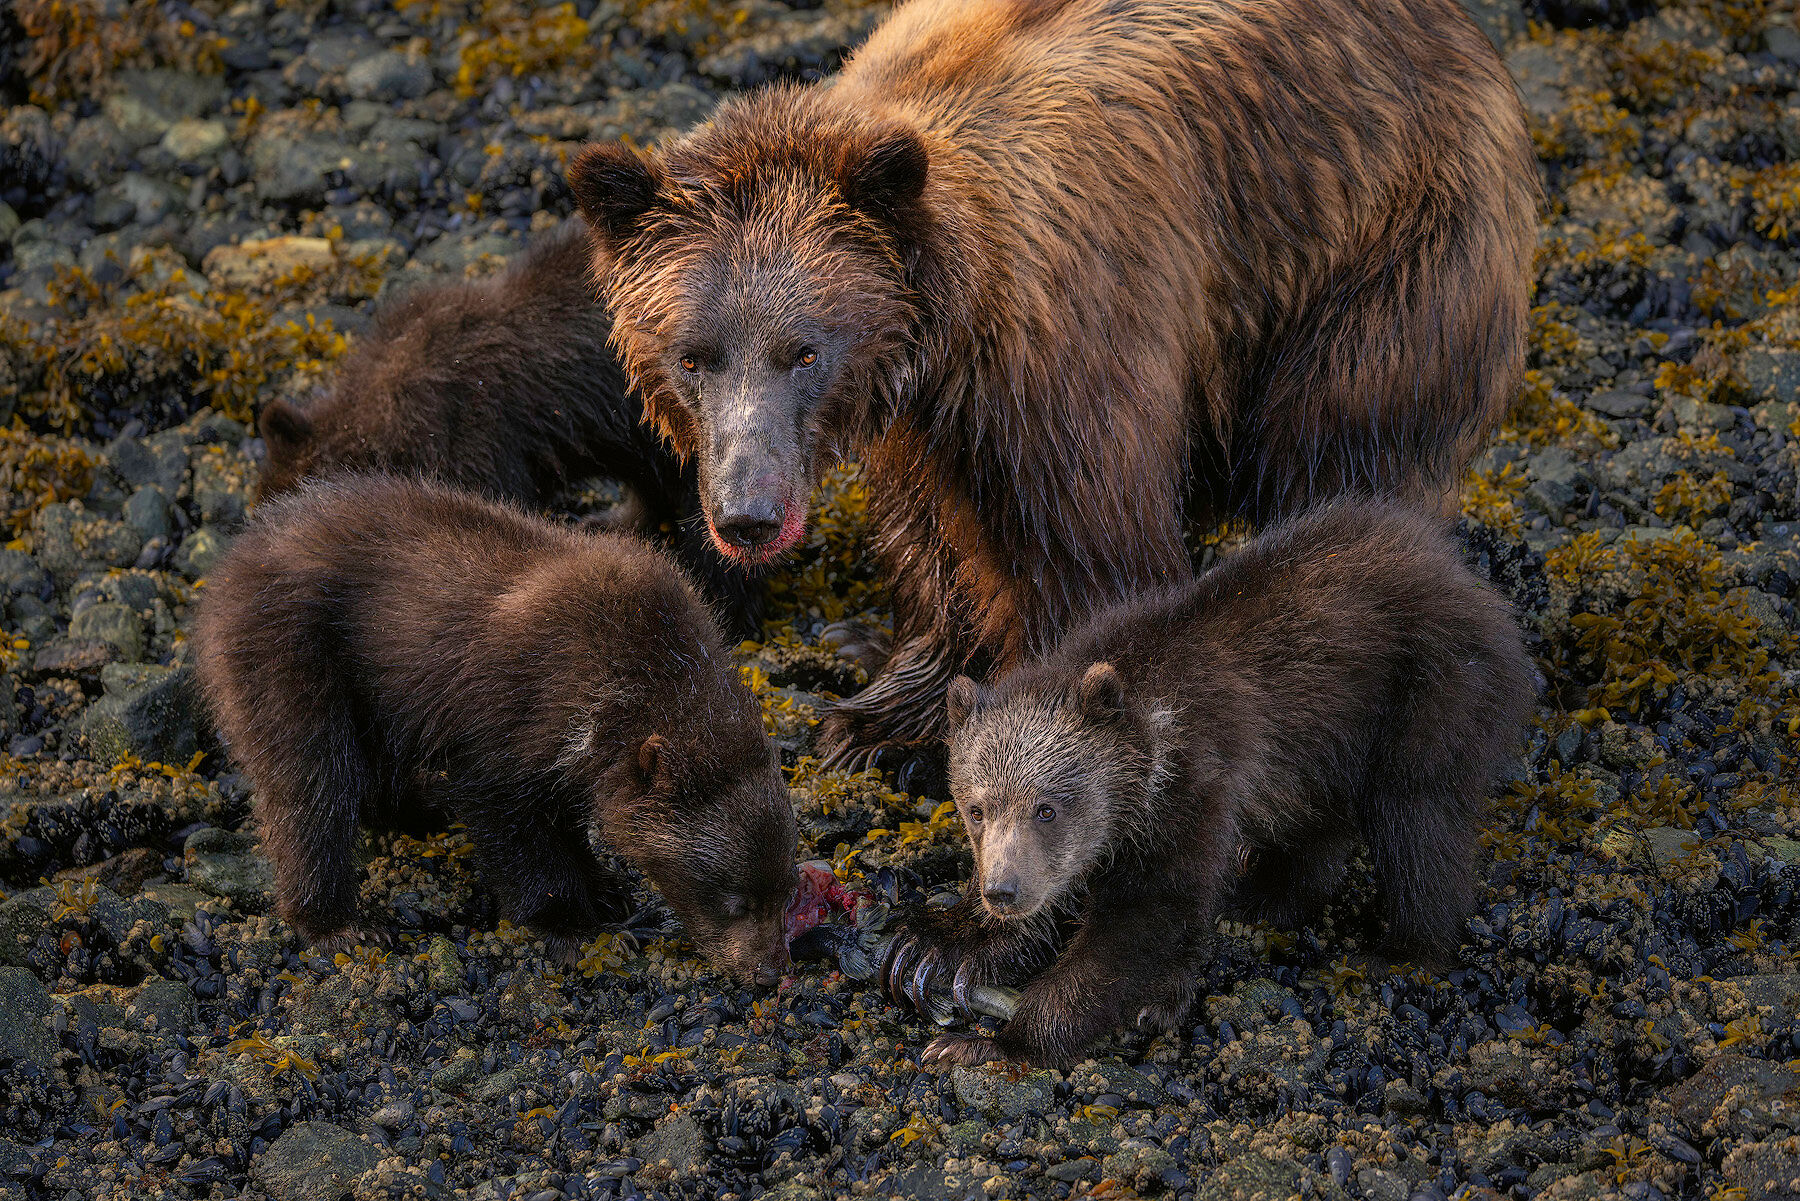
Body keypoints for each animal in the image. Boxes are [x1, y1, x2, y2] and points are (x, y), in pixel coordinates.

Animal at [193, 473, 798, 986]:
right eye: (733, 897)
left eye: (785, 887)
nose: (770, 971)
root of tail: (239, 552)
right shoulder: (517, 713)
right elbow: (509, 819)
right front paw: (573, 924)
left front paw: (605, 888)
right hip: (295, 650)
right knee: (310, 779)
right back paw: (340, 923)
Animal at [565, 0, 1538, 767]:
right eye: (693, 354)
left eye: (803, 351)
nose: (748, 515)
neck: (949, 329)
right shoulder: (928, 423)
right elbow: (938, 541)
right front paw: (878, 713)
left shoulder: (1066, 355)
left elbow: (1090, 559)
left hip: (1377, 262)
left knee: (1339, 468)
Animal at [880, 498, 1536, 1067]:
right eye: (976, 809)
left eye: (1048, 807)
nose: (1004, 891)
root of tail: (1463, 573)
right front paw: (933, 949)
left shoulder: (1190, 788)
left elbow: (1146, 920)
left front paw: (995, 1041)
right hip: (1320, 747)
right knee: (1317, 822)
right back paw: (1266, 892)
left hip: (1429, 687)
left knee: (1418, 817)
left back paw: (1401, 948)